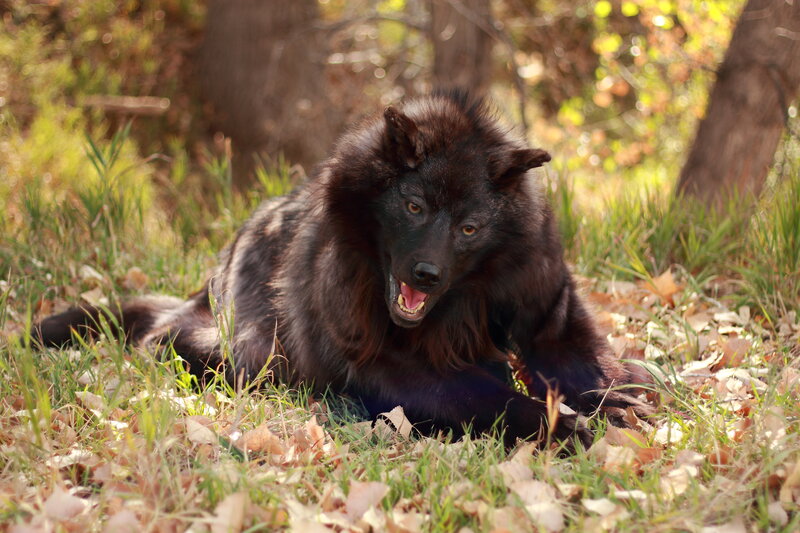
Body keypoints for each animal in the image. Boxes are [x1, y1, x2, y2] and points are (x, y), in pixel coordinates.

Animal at [34, 91, 652, 448]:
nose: (426, 274)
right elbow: (490, 398)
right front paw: (563, 425)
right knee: (160, 339)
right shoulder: (389, 370)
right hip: (243, 354)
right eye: (414, 207)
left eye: (470, 229)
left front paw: (618, 406)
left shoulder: (549, 325)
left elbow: (589, 372)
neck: (460, 298)